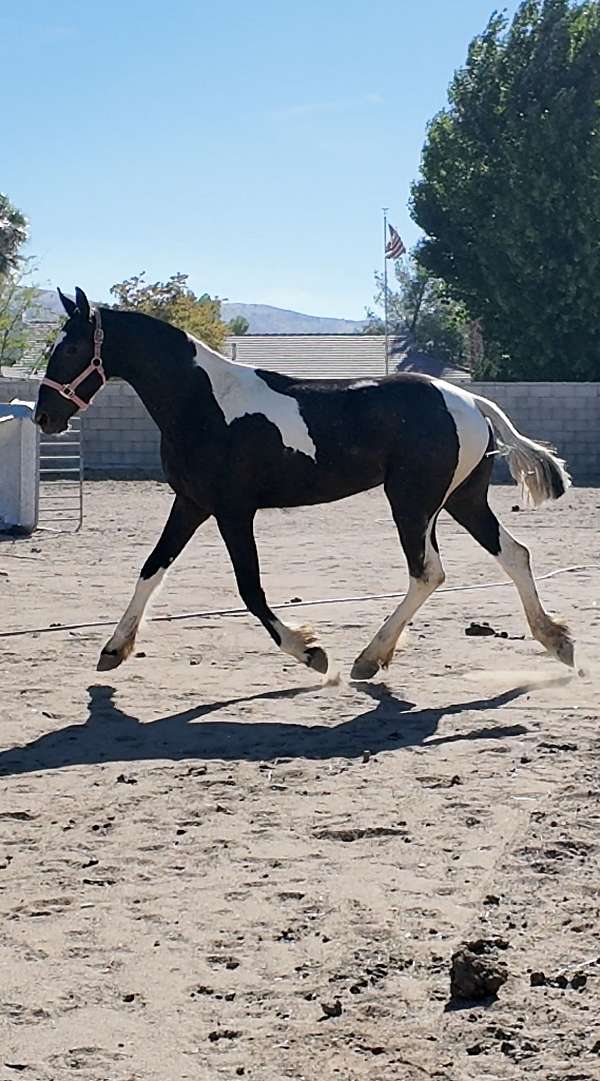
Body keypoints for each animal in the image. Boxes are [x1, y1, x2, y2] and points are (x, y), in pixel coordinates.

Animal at [34, 287, 574, 679]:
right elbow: (151, 568)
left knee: (428, 572)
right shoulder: (190, 503)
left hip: (412, 502)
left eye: (74, 346)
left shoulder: (233, 511)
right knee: (514, 554)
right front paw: (114, 648)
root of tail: (468, 400)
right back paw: (556, 640)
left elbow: (250, 588)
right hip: (461, 501)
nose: (45, 416)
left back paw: (368, 657)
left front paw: (309, 651)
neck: (203, 402)